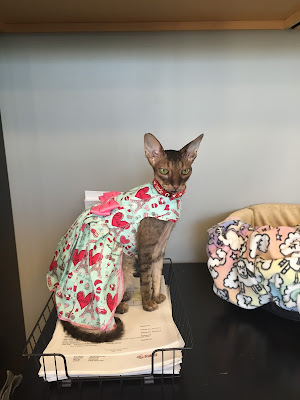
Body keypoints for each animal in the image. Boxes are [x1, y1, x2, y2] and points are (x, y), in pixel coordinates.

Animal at [48, 133, 204, 342]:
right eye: (164, 170)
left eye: (185, 170)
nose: (176, 184)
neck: (167, 199)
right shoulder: (146, 249)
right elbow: (146, 280)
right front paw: (148, 304)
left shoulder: (160, 247)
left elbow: (156, 275)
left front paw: (157, 296)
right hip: (118, 264)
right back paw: (121, 305)